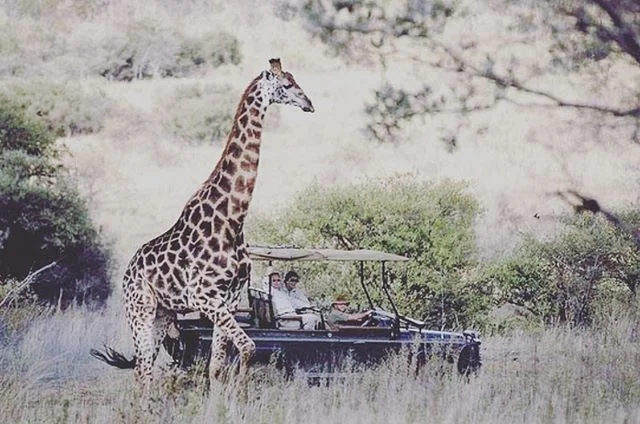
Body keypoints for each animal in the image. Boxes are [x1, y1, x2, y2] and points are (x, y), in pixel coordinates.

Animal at [91, 58, 314, 389]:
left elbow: (217, 366)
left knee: (145, 367)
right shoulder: (204, 296)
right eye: (286, 85)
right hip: (139, 309)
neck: (232, 220)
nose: (309, 103)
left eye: (295, 80)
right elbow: (248, 347)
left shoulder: (228, 300)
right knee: (142, 371)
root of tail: (128, 270)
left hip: (164, 313)